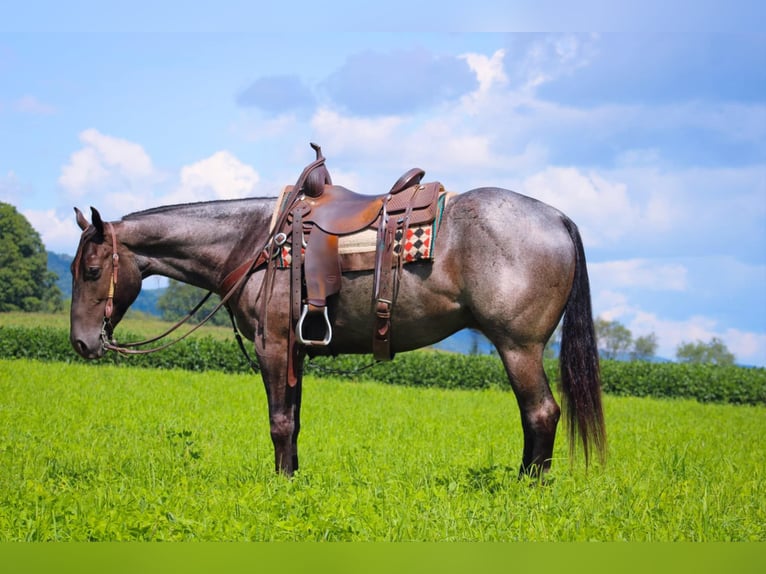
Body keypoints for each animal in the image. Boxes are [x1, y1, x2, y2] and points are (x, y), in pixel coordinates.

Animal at [69, 159, 608, 482]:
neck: (254, 243)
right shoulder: (295, 351)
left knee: (541, 413)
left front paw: (280, 484)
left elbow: (279, 422)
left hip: (518, 346)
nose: (80, 344)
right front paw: (293, 478)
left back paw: (527, 488)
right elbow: (294, 421)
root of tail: (558, 218)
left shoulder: (274, 345)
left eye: (92, 270)